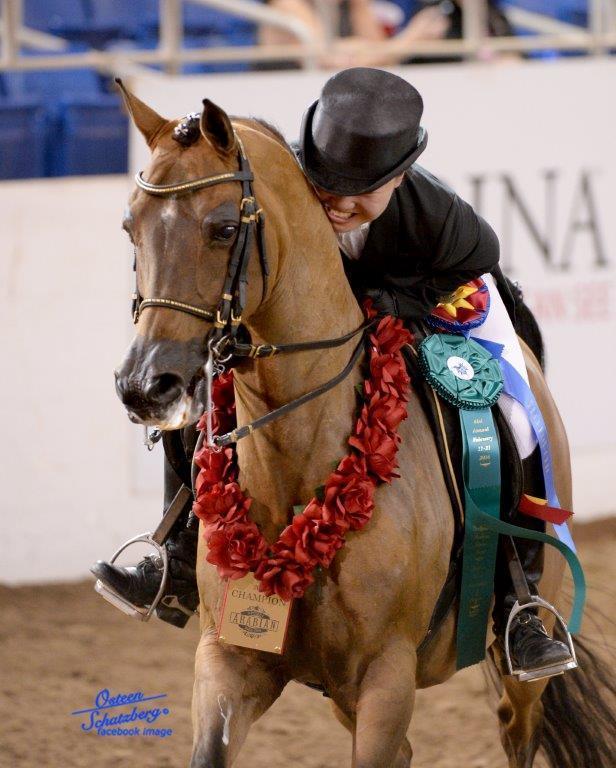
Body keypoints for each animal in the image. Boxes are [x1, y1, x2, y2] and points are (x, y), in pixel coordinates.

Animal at [113, 83, 614, 768]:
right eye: (130, 226)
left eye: (223, 229)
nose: (144, 387)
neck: (300, 461)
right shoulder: (228, 661)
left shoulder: (384, 676)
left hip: (517, 661)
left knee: (519, 724)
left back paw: (532, 635)